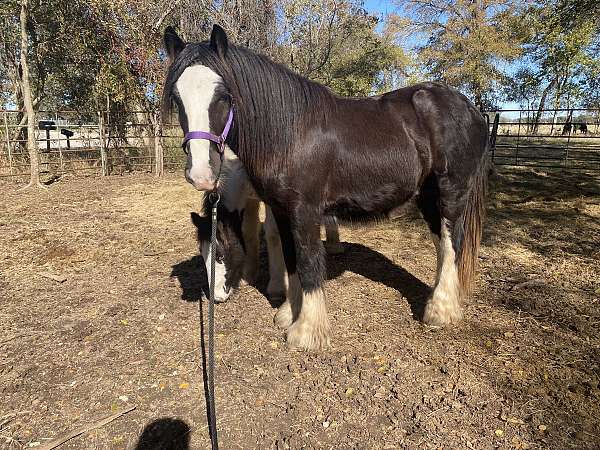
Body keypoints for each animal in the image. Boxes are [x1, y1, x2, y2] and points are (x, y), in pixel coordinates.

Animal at [163, 24, 488, 352]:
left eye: (223, 95)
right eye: (177, 97)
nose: (200, 172)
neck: (290, 133)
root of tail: (470, 108)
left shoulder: (305, 211)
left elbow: (308, 262)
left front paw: (307, 332)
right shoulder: (280, 209)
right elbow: (291, 258)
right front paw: (287, 313)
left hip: (450, 189)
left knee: (452, 241)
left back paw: (440, 311)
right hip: (427, 194)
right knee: (441, 243)